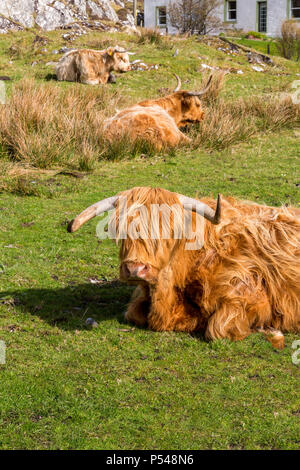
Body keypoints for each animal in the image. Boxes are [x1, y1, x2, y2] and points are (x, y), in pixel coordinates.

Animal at [68, 187, 300, 348]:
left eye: (168, 230)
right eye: (121, 229)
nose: (135, 269)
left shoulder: (248, 293)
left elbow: (217, 329)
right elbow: (132, 313)